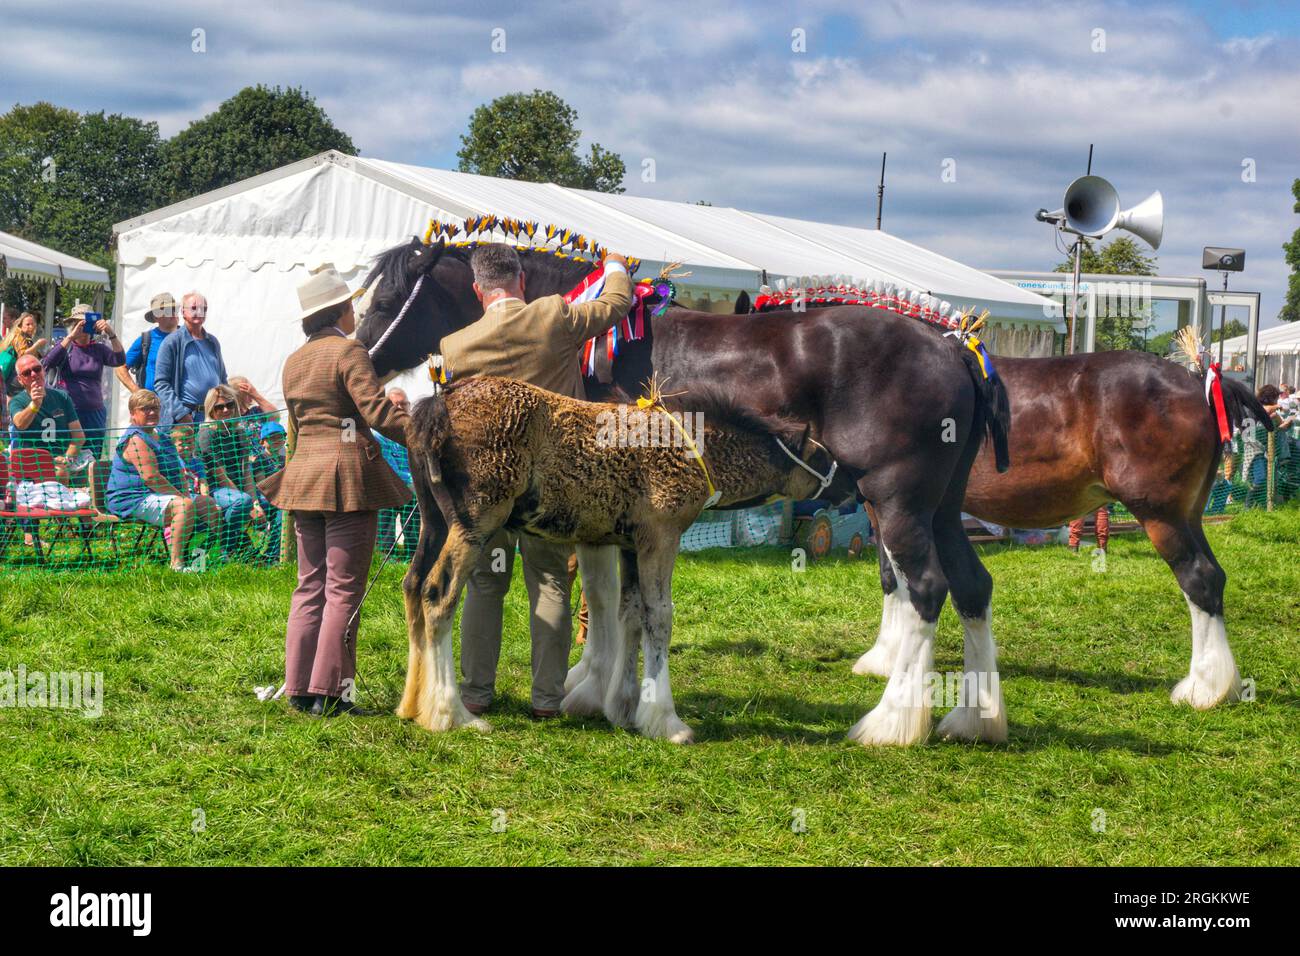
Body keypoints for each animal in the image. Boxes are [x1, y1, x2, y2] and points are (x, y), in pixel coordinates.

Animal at [358, 239, 1013, 749]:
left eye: (385, 301)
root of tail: (955, 347)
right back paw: (974, 718)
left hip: (897, 504)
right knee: (971, 586)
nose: (361, 362)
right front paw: (608, 690)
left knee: (925, 588)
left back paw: (891, 722)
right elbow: (616, 600)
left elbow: (604, 598)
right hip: (939, 509)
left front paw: (596, 687)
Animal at [852, 351, 1268, 712]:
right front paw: (886, 656)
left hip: (1161, 517)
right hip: (1188, 517)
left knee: (1199, 579)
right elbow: (891, 576)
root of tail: (1197, 382)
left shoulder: (893, 503)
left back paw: (1204, 687)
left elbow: (899, 577)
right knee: (1214, 578)